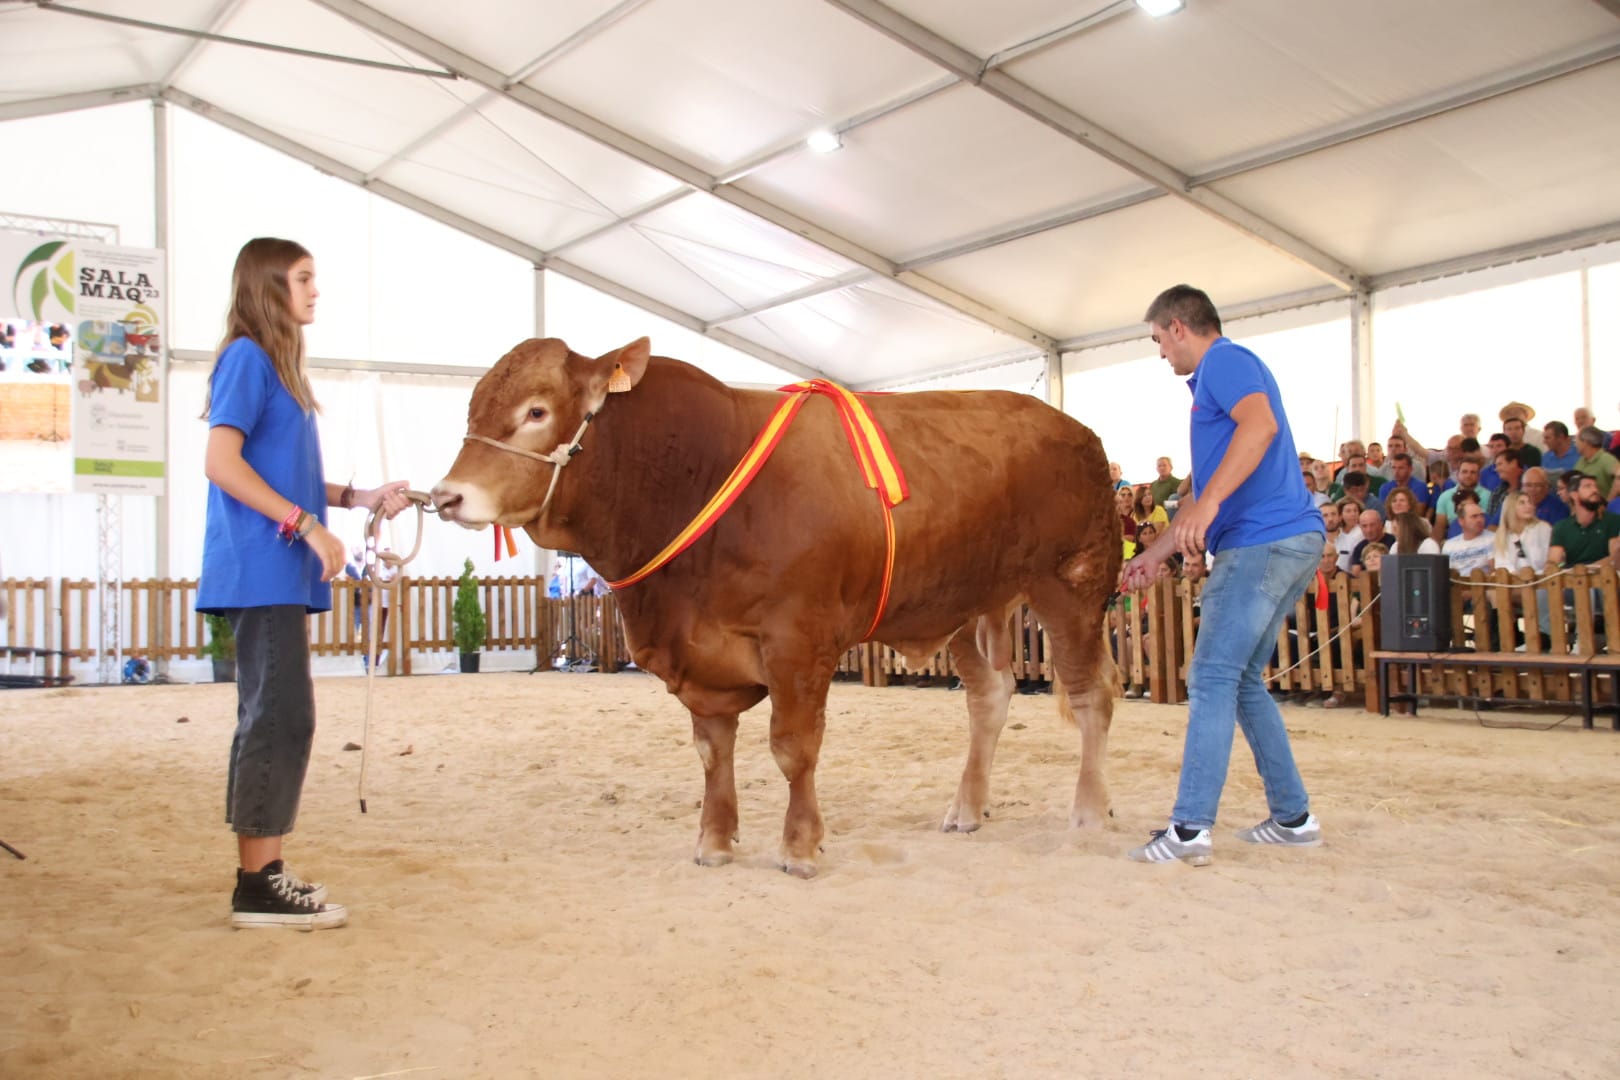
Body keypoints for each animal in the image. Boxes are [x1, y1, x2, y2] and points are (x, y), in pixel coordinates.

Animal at [430, 338, 1121, 880]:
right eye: (472, 407)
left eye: (537, 410)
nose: (444, 496)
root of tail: (1076, 430)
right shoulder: (703, 656)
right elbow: (713, 750)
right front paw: (714, 842)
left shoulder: (798, 640)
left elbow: (793, 747)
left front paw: (800, 847)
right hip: (968, 604)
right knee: (992, 694)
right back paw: (968, 808)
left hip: (1073, 586)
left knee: (1092, 696)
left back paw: (1089, 811)